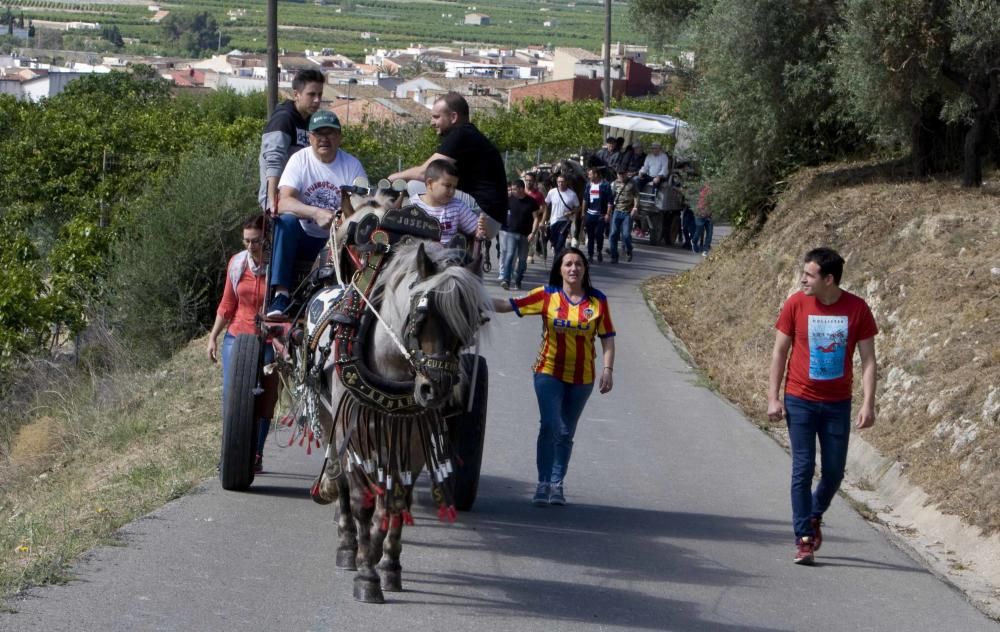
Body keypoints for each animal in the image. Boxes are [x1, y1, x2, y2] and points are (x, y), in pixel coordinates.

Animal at [306, 232, 490, 604]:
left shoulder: (413, 438)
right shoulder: (354, 433)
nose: (437, 388)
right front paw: (365, 571)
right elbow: (361, 501)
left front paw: (387, 564)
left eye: (470, 320)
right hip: (331, 419)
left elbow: (396, 502)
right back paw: (347, 543)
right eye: (422, 314)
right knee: (340, 479)